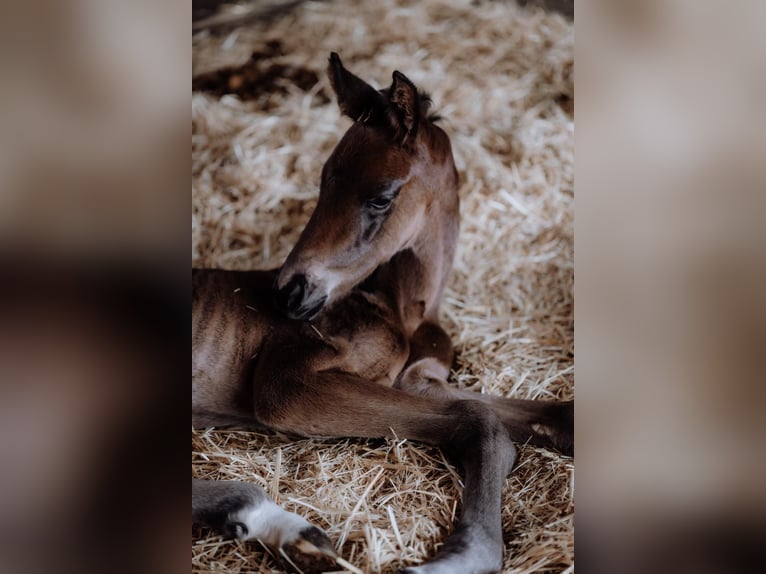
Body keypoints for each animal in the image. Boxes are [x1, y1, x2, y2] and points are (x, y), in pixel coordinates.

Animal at [195, 54, 572, 574]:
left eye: (380, 198)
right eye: (323, 182)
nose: (288, 293)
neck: (403, 310)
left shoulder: (419, 382)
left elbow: (545, 413)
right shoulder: (286, 382)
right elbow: (480, 420)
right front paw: (462, 555)